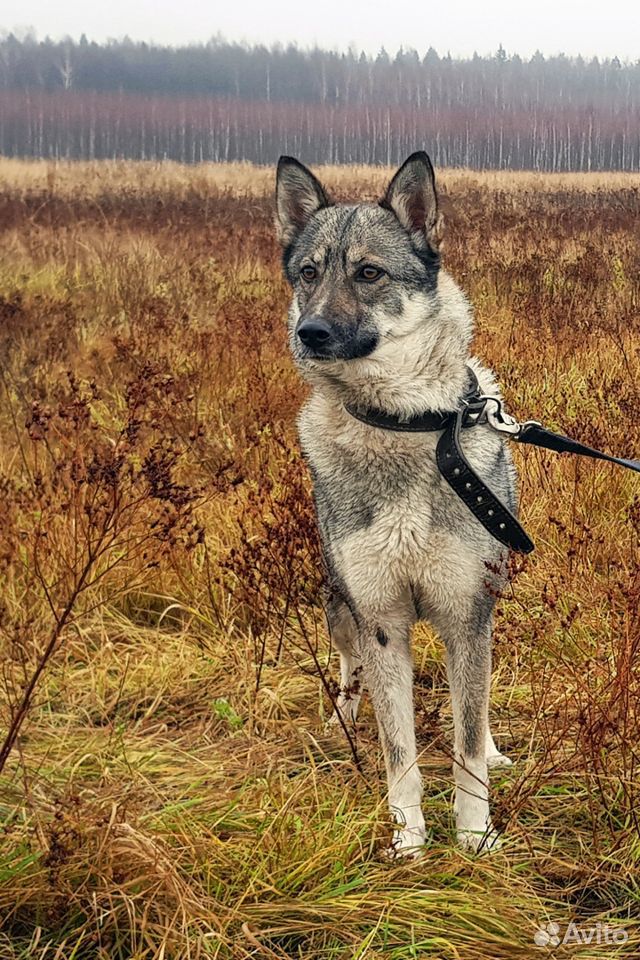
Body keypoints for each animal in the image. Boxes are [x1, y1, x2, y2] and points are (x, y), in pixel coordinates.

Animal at [276, 150, 516, 856]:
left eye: (370, 273)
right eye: (308, 273)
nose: (311, 332)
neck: (400, 423)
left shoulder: (467, 614)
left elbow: (466, 740)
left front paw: (473, 835)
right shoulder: (380, 619)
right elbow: (397, 749)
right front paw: (409, 840)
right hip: (340, 608)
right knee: (350, 673)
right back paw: (343, 721)